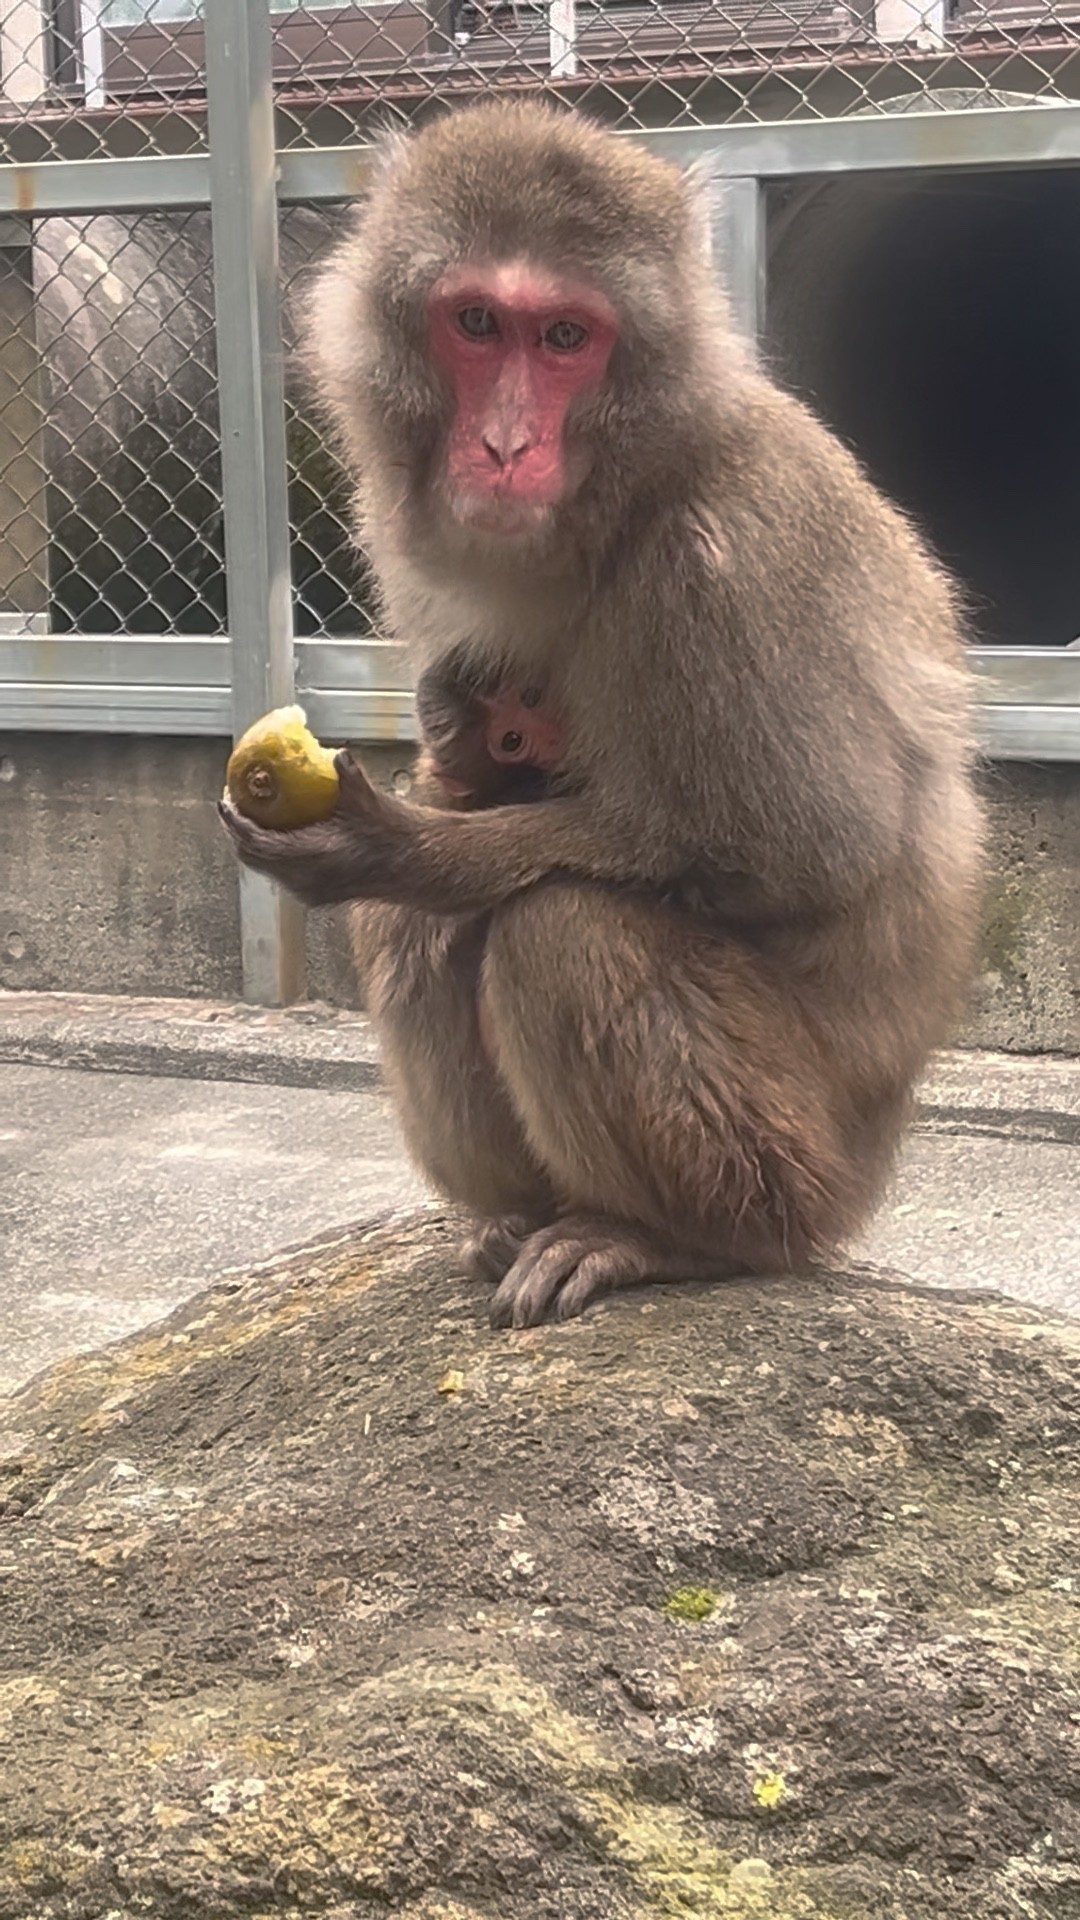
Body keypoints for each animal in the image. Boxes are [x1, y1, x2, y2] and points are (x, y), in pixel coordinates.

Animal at [219, 100, 984, 1330]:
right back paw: (512, 1214)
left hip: (808, 1156)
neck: (615, 497)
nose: (505, 447)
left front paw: (420, 849)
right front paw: (450, 759)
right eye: (479, 323)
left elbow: (812, 849)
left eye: (568, 339)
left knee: (561, 924)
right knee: (423, 935)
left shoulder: (722, 562)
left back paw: (675, 1239)